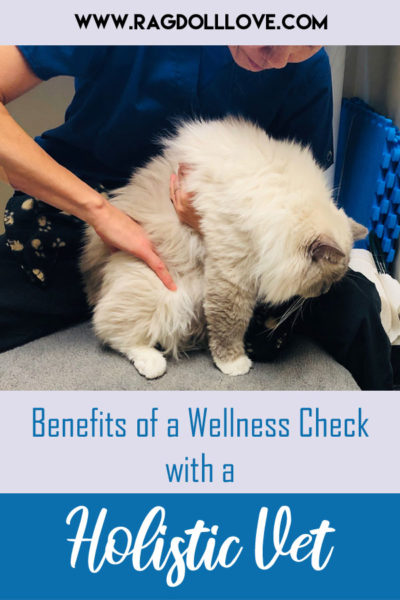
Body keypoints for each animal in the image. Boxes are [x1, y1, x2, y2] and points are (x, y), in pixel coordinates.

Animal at [80, 118, 366, 380]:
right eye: (324, 281)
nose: (324, 292)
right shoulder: (233, 270)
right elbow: (230, 321)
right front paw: (234, 364)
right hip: (163, 294)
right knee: (113, 332)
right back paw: (153, 364)